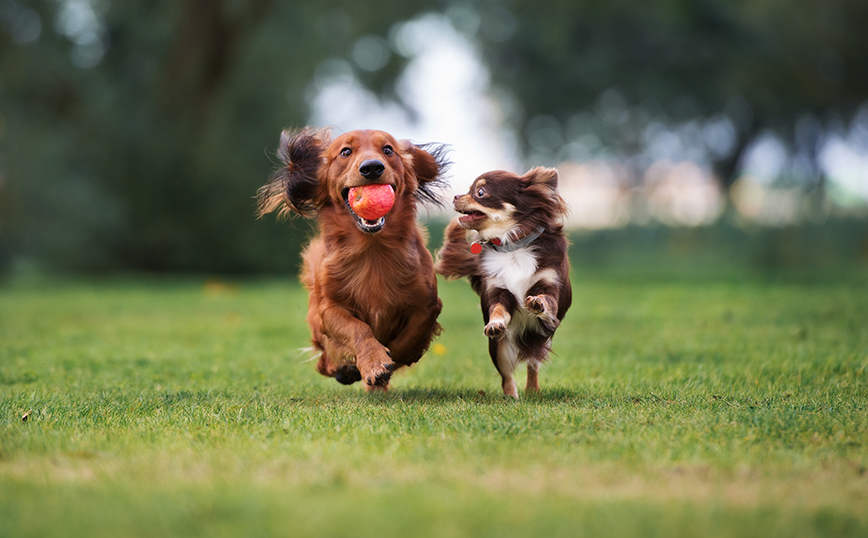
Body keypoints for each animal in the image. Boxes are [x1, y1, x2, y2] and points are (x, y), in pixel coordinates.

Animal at [258, 128, 448, 392]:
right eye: (345, 152)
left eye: (388, 150)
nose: (372, 168)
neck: (372, 250)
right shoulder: (329, 309)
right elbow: (358, 328)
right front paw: (373, 362)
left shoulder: (428, 304)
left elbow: (409, 339)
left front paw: (387, 361)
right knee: (324, 362)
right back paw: (344, 369)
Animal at [438, 168, 572, 398]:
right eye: (469, 189)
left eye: (480, 192)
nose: (455, 196)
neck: (512, 246)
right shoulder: (498, 291)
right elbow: (499, 310)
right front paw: (495, 324)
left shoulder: (549, 285)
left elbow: (547, 300)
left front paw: (537, 302)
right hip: (499, 349)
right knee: (507, 375)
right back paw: (511, 397)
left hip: (541, 338)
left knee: (532, 363)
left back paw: (532, 390)